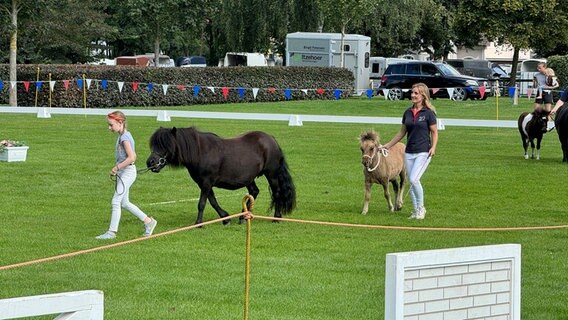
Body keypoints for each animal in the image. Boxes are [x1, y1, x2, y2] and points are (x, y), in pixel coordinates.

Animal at [145, 127, 298, 225]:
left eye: (165, 145)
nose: (150, 162)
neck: (201, 152)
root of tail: (272, 139)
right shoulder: (204, 183)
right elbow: (212, 201)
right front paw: (225, 218)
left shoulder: (206, 182)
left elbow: (202, 203)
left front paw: (198, 223)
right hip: (249, 178)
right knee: (254, 191)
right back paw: (243, 217)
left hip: (271, 174)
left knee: (277, 193)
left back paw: (276, 218)